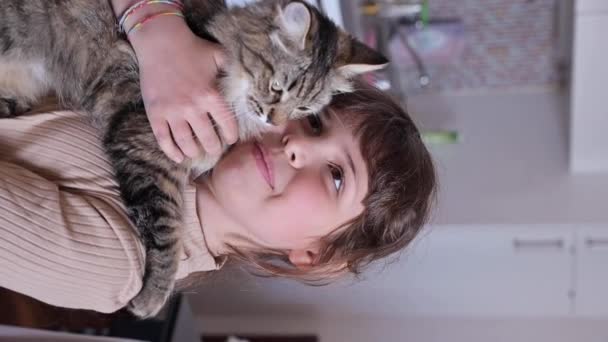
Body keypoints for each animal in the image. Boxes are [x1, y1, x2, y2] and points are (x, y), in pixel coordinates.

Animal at [0, 0, 390, 318]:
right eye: (278, 87)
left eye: (306, 109)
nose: (274, 121)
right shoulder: (146, 148)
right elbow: (167, 230)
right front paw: (152, 298)